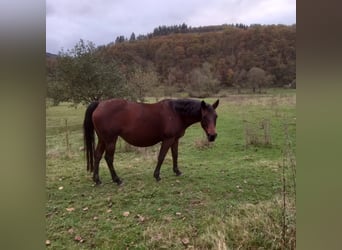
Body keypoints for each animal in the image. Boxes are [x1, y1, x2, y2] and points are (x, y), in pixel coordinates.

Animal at [84, 98, 220, 185]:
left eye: (216, 116)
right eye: (204, 117)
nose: (212, 136)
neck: (176, 112)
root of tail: (100, 104)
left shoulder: (175, 139)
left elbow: (175, 155)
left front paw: (177, 171)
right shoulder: (168, 139)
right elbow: (161, 156)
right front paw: (157, 175)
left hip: (103, 139)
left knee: (97, 156)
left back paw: (97, 180)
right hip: (111, 140)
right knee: (108, 158)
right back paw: (117, 179)